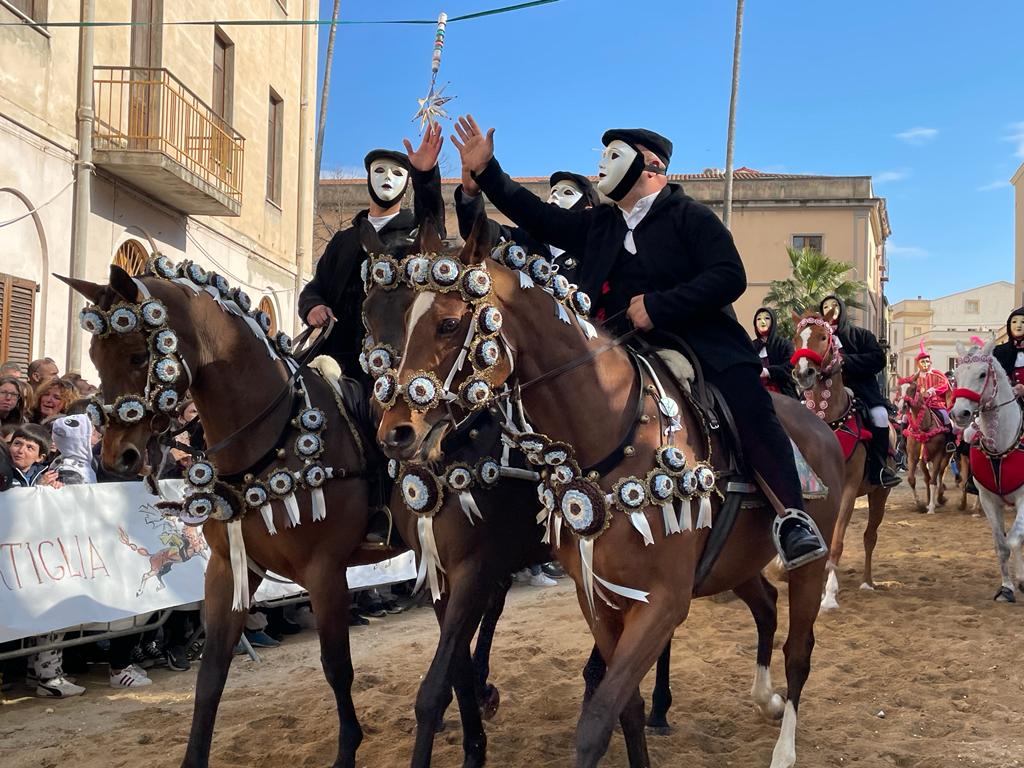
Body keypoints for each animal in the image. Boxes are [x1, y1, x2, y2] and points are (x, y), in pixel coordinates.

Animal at [61, 262, 395, 768]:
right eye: (96, 359)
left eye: (139, 356)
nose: (118, 457)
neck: (274, 438)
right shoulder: (229, 569)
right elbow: (212, 673)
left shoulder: (325, 573)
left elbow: (337, 667)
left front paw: (348, 748)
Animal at [371, 225, 843, 768]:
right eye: (401, 320)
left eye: (448, 324)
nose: (395, 432)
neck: (616, 433)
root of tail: (820, 426)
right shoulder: (596, 597)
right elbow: (624, 707)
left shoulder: (661, 603)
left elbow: (596, 721)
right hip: (736, 563)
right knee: (765, 605)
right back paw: (764, 698)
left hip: (806, 566)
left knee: (799, 651)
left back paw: (784, 746)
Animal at [789, 312, 894, 610]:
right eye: (796, 338)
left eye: (824, 337)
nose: (803, 373)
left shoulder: (847, 489)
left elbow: (836, 540)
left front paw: (829, 594)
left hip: (880, 493)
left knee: (870, 536)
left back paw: (867, 582)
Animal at [902, 381, 951, 514]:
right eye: (900, 389)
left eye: (913, 389)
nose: (903, 406)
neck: (923, 428)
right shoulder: (913, 457)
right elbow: (912, 479)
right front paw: (920, 504)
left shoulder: (938, 456)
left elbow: (934, 481)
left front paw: (932, 507)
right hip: (925, 460)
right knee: (927, 478)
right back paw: (930, 501)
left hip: (946, 456)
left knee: (941, 473)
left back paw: (939, 498)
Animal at [951, 339, 1024, 603]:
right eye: (956, 375)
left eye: (983, 374)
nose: (959, 413)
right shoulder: (989, 500)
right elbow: (1002, 546)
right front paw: (1008, 588)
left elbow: (1015, 539)